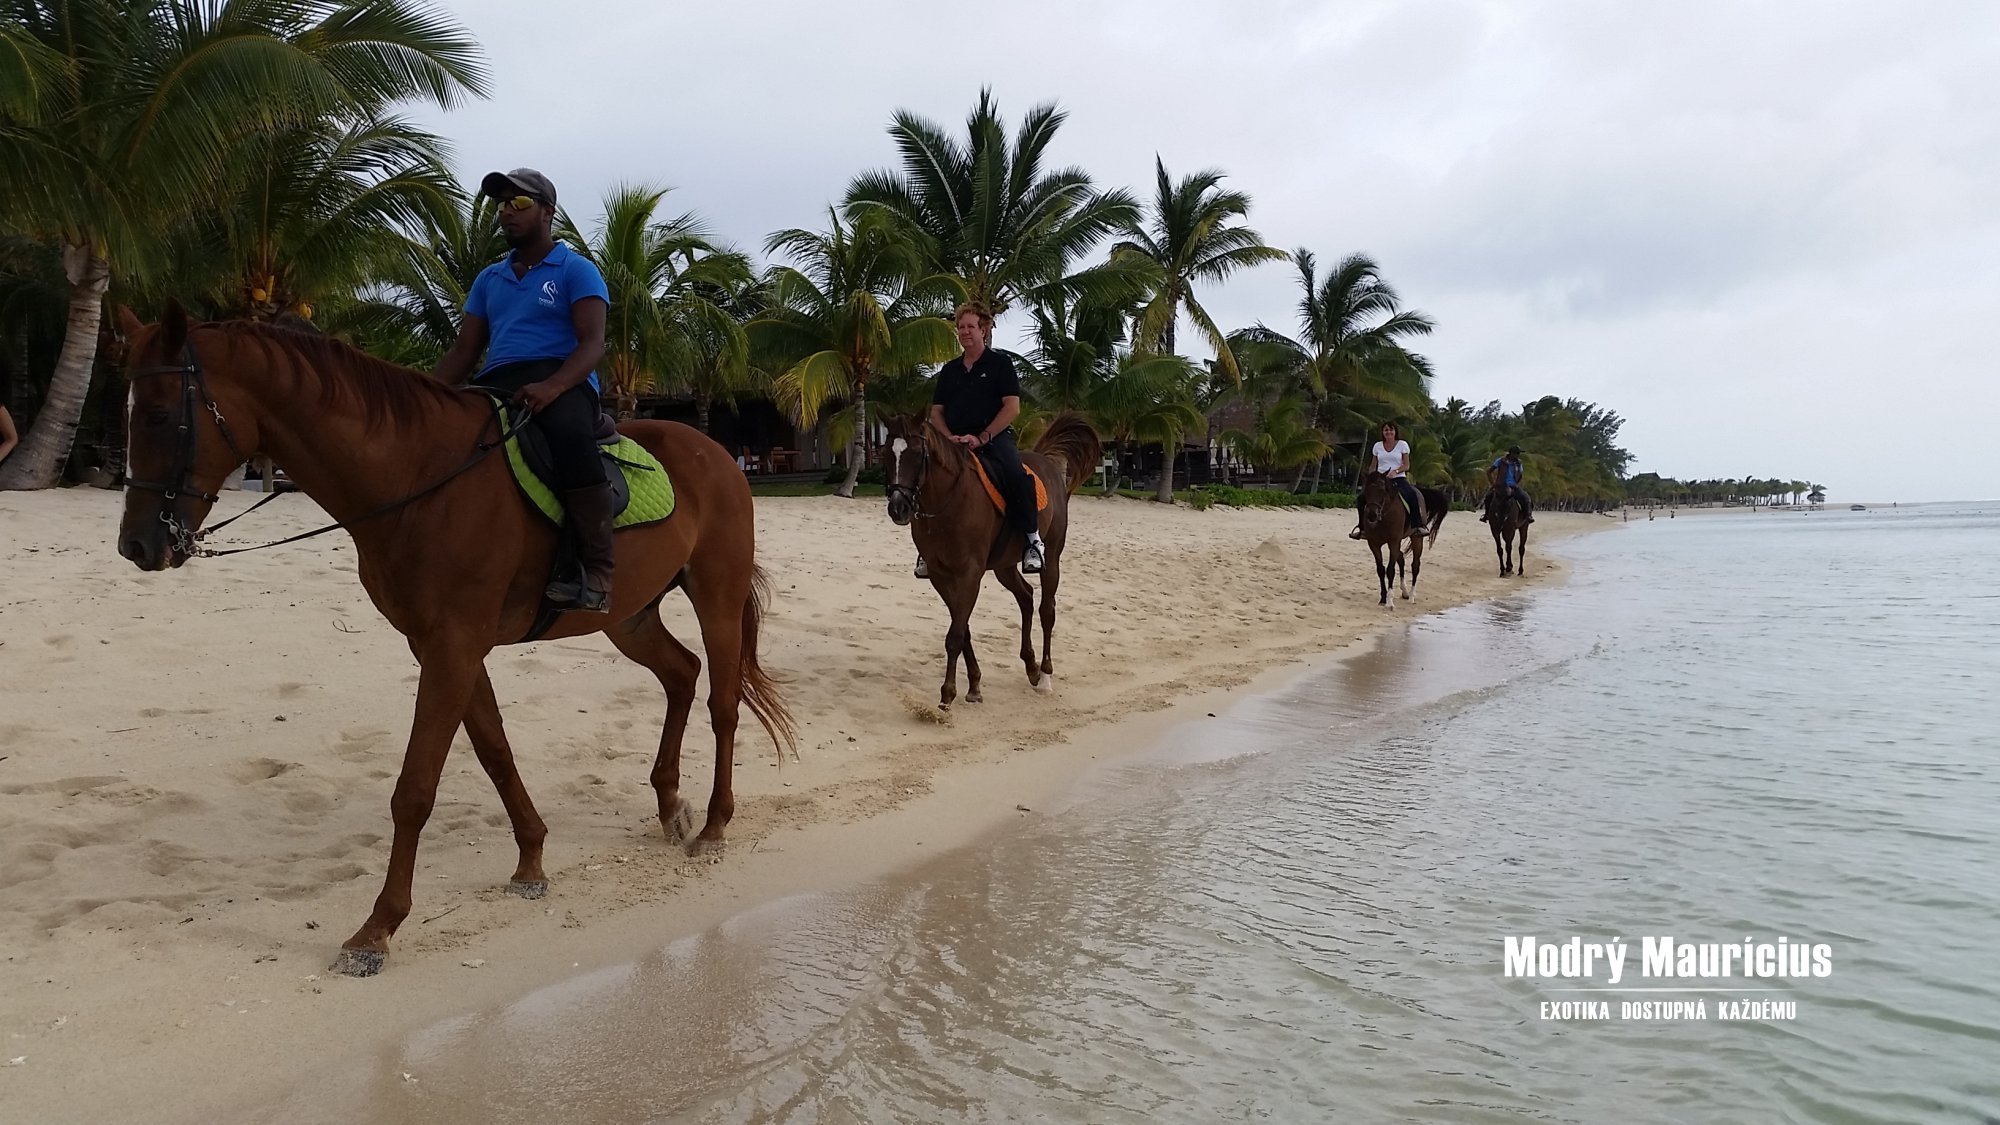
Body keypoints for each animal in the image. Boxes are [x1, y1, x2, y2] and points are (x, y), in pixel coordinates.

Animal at [114, 302, 795, 977]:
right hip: (628, 616)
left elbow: (415, 789)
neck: (418, 479)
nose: (138, 546)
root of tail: (714, 451)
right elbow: (494, 750)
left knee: (723, 703)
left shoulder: (453, 645)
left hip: (715, 596)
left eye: (157, 416)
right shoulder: (443, 645)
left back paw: (713, 826)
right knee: (681, 673)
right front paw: (530, 861)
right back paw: (670, 805)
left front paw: (377, 929)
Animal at [883, 413, 1102, 708]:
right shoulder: (941, 576)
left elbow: (955, 635)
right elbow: (962, 627)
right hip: (1004, 566)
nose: (898, 508)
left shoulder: (969, 574)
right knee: (1026, 597)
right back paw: (1031, 667)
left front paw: (948, 695)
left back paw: (1044, 676)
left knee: (1047, 610)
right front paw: (974, 684)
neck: (949, 501)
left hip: (1053, 559)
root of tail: (1043, 460)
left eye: (917, 454)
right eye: (886, 452)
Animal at [1357, 471, 1429, 607]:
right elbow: (1380, 569)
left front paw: (1390, 602)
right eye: (1366, 490)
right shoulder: (1373, 543)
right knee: (1401, 558)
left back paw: (1411, 596)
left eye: (1382, 490)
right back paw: (1405, 591)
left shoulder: (1394, 541)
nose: (1372, 515)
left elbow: (1390, 569)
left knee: (1415, 565)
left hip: (1416, 539)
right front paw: (1383, 598)